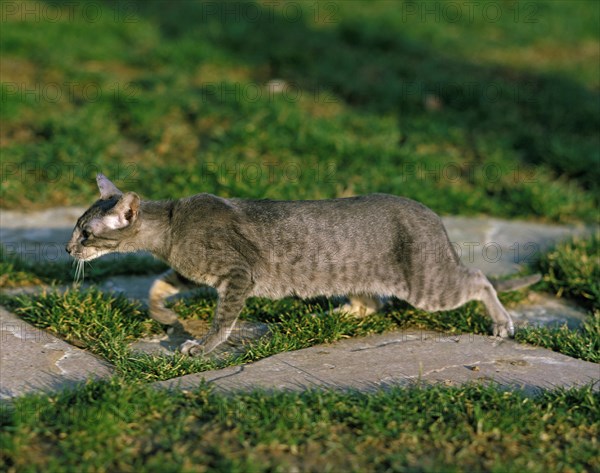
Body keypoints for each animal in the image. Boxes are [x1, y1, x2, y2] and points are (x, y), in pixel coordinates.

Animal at [64, 173, 540, 354]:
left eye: (86, 233)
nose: (68, 250)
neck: (171, 225)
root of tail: (433, 217)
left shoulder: (238, 274)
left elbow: (222, 320)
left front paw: (202, 346)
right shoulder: (188, 271)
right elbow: (156, 286)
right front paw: (164, 315)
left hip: (429, 285)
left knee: (478, 278)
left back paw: (502, 323)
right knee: (373, 304)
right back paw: (333, 313)